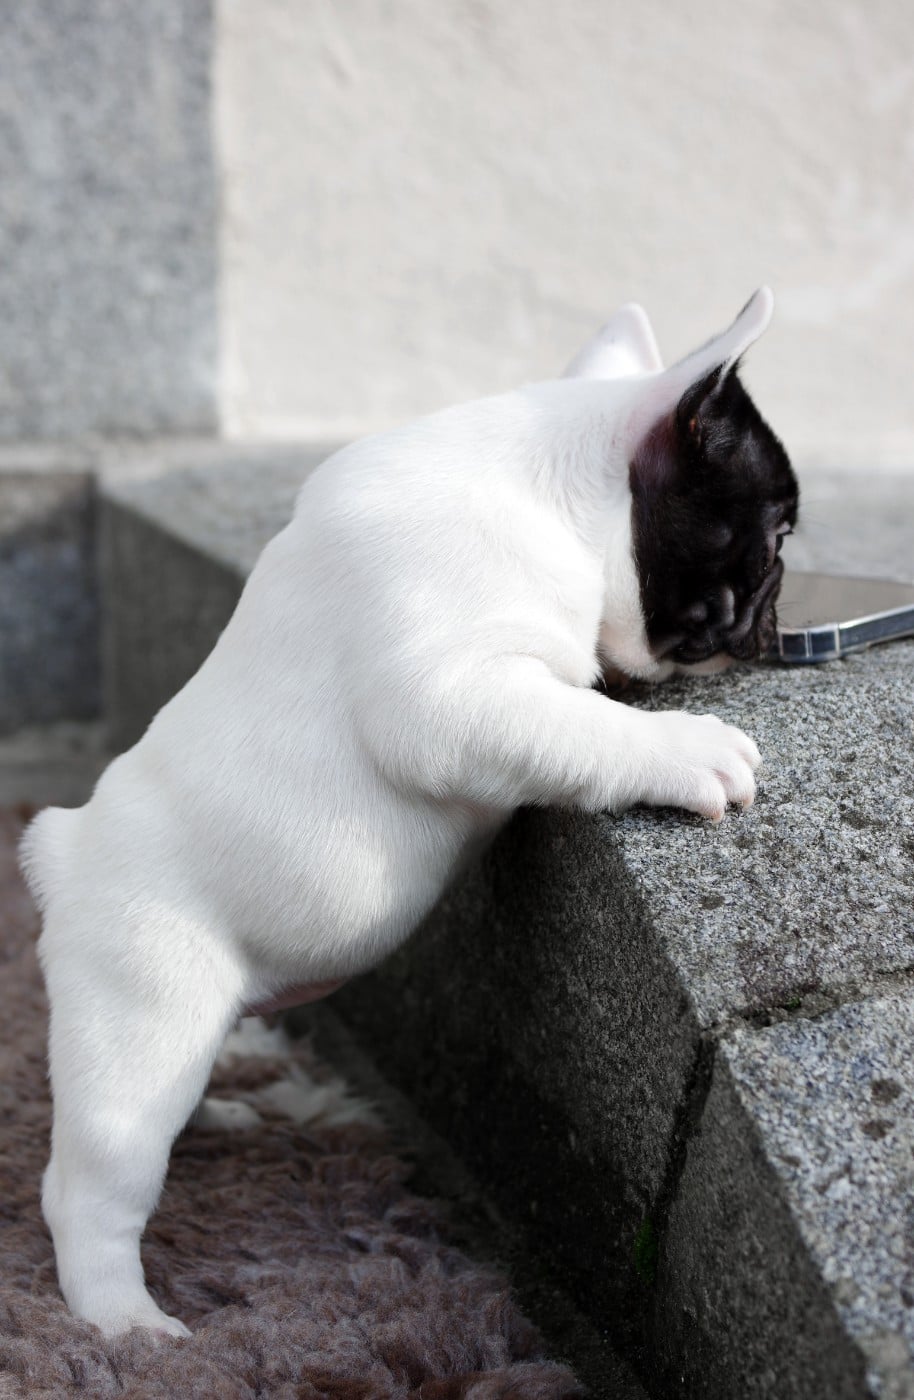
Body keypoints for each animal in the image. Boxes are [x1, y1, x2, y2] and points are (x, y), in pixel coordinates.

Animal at [20, 287, 798, 1338]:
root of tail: (63, 854)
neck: (555, 490)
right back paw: (129, 1327)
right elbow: (583, 721)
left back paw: (217, 1121)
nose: (777, 616)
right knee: (90, 1182)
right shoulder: (450, 694)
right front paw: (689, 749)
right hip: (143, 1010)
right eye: (777, 535)